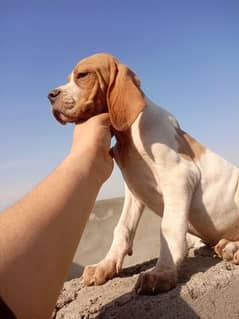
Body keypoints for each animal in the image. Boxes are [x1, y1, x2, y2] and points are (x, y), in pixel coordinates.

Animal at [48, 52, 239, 296]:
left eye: (82, 75)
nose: (50, 96)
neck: (128, 135)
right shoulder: (134, 189)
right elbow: (122, 228)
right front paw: (105, 265)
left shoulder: (179, 177)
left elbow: (168, 228)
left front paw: (163, 273)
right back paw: (226, 245)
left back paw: (233, 248)